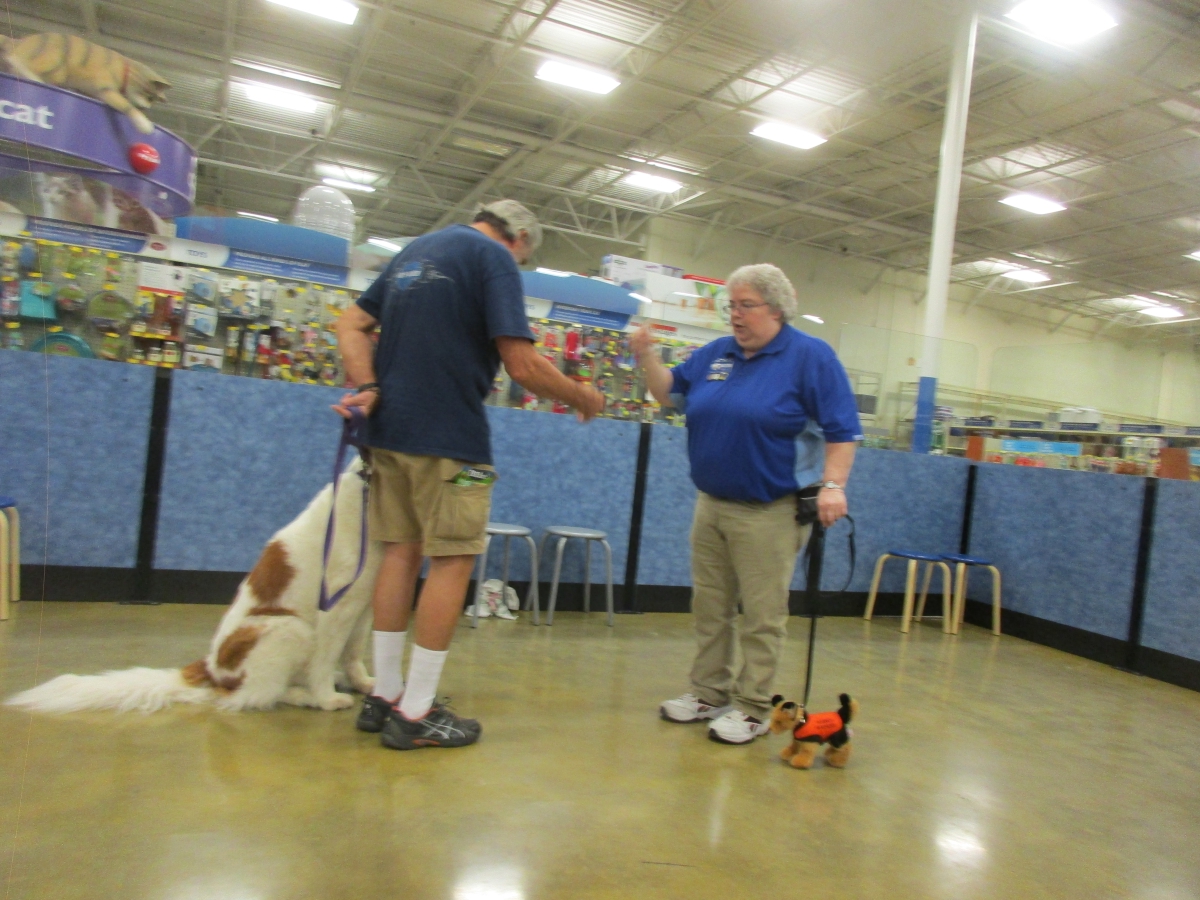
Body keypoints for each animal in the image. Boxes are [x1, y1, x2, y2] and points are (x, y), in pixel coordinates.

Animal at [5, 459, 381, 714]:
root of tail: (209, 667)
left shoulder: (363, 605)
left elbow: (352, 652)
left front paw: (363, 682)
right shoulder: (336, 607)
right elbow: (326, 658)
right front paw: (326, 697)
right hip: (289, 628)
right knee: (249, 695)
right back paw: (304, 696)